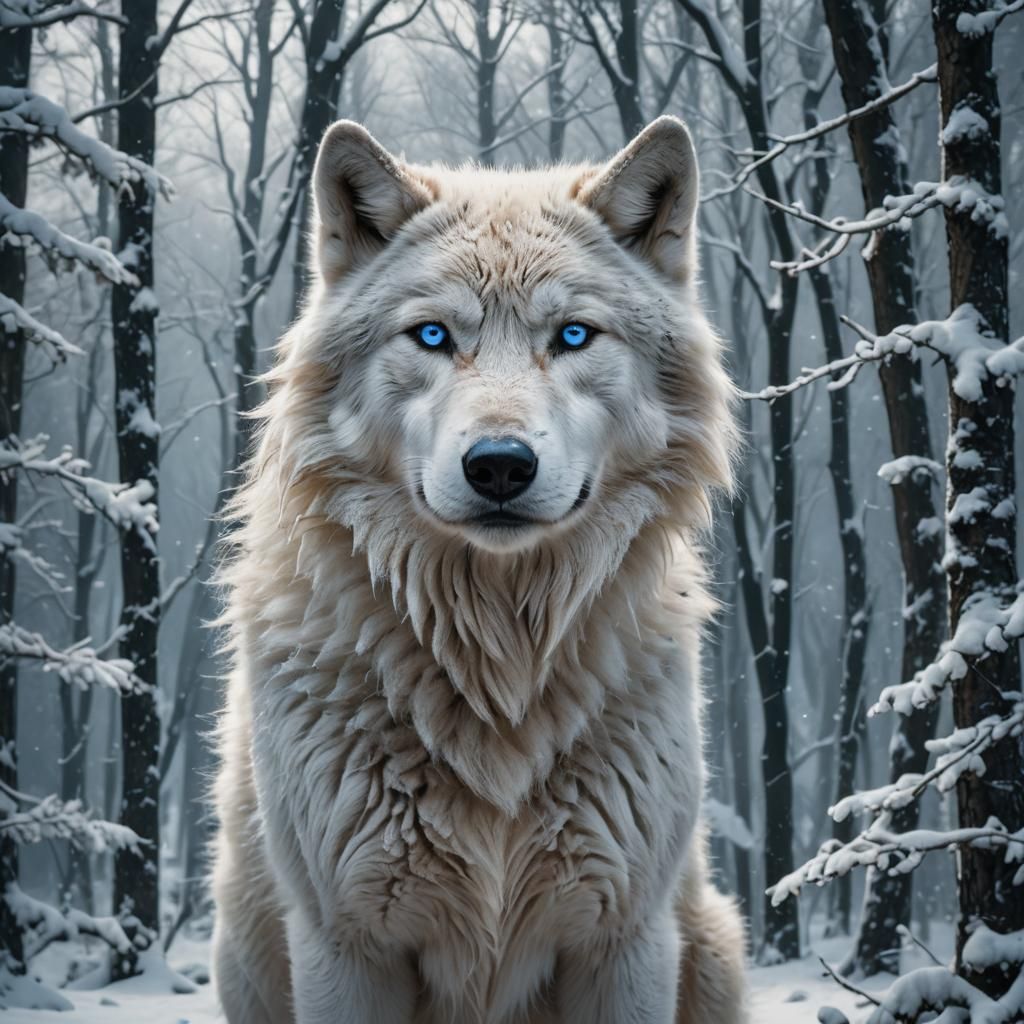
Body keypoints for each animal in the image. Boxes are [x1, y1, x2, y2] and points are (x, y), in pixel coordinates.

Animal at [211, 115, 746, 1024]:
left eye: (572, 335)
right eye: (433, 336)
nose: (499, 464)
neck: (497, 670)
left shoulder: (624, 942)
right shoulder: (346, 947)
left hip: (710, 946)